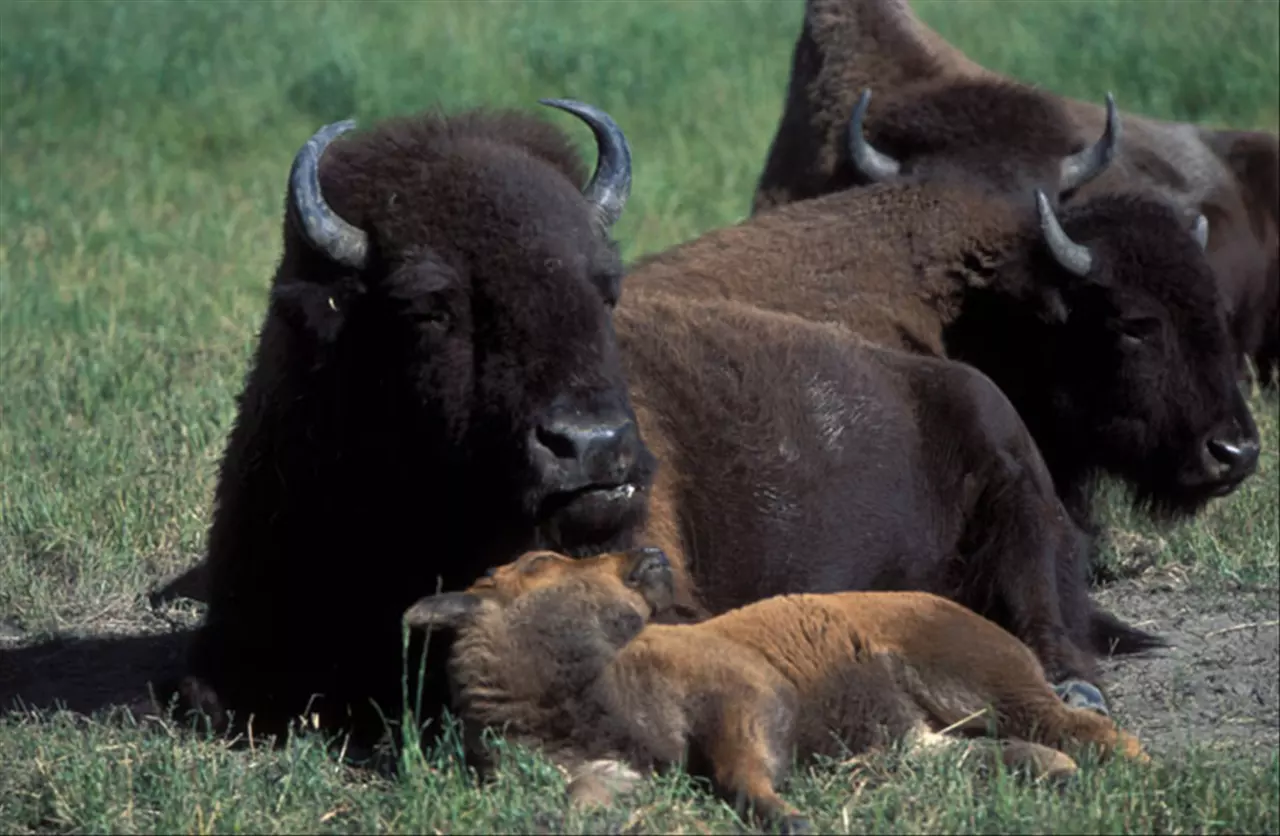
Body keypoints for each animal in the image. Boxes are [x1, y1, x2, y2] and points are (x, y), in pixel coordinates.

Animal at [407, 547, 1152, 834]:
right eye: (540, 562)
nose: (644, 555)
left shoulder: (743, 697)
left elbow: (741, 771)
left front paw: (789, 816)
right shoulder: (607, 766)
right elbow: (583, 794)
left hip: (983, 683)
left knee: (1081, 725)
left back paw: (1138, 769)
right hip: (916, 738)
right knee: (975, 751)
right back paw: (1055, 773)